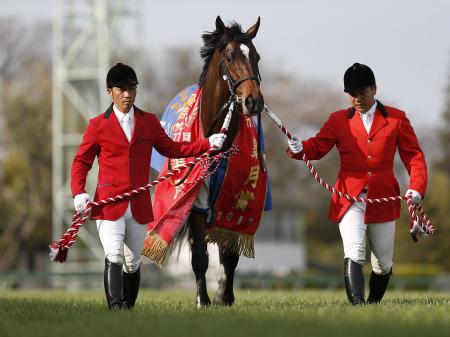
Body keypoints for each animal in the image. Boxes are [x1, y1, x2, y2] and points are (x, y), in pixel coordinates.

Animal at [188, 15, 266, 306]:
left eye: (256, 56)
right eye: (230, 56)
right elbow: (200, 254)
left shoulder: (232, 197)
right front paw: (203, 299)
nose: (254, 101)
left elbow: (229, 253)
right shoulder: (196, 200)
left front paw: (225, 296)